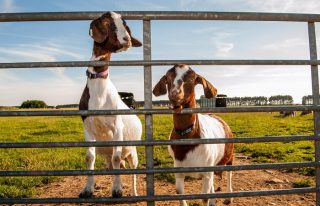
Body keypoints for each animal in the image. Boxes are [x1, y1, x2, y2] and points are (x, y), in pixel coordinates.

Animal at [78, 12, 142, 199]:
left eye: (126, 25)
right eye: (109, 24)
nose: (127, 39)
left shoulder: (117, 127)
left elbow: (116, 157)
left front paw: (117, 190)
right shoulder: (88, 127)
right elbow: (89, 158)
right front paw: (88, 189)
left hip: (133, 152)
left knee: (131, 169)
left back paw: (134, 193)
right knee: (115, 165)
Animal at [154, 64, 234, 204]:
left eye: (192, 78)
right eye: (167, 77)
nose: (175, 94)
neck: (188, 138)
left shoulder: (206, 173)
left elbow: (204, 198)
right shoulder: (179, 172)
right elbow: (180, 194)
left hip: (229, 156)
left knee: (229, 174)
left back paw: (229, 197)